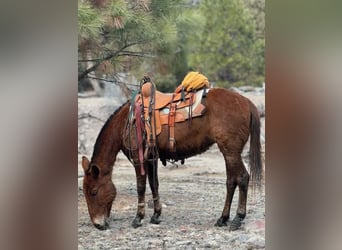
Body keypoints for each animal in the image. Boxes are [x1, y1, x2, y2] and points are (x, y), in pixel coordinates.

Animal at [81, 87, 264, 230]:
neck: (127, 121)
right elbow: (154, 184)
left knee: (242, 178)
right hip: (229, 152)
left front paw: (138, 217)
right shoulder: (151, 159)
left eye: (94, 191)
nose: (98, 224)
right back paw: (223, 218)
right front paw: (156, 215)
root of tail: (247, 103)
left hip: (231, 151)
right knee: (231, 181)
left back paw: (237, 219)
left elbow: (141, 187)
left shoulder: (139, 160)